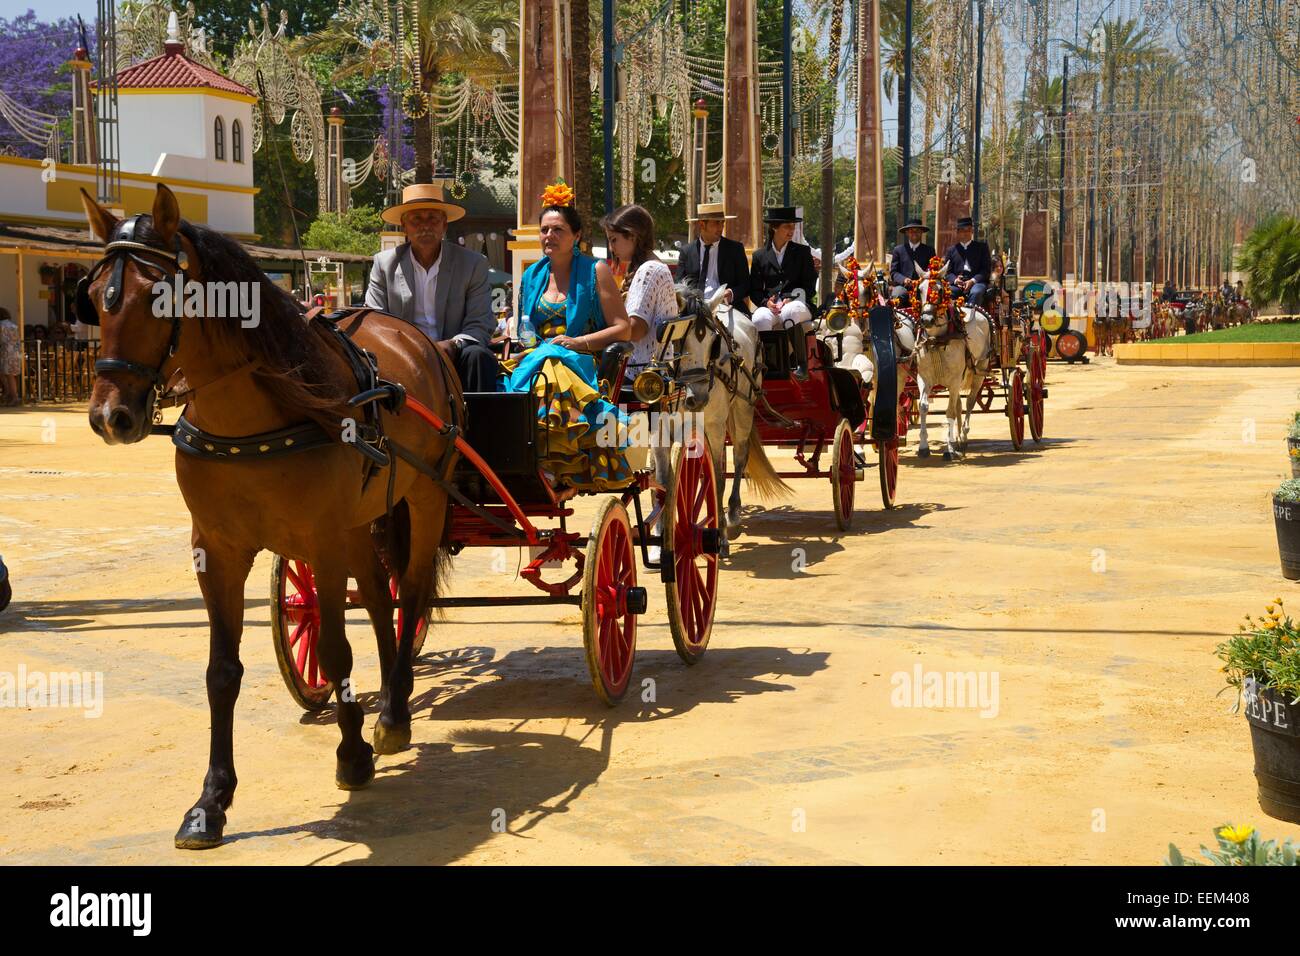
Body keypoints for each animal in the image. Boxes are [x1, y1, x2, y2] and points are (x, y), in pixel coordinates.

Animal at [77, 183, 462, 848]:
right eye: (98, 296)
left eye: (157, 296)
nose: (110, 417)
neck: (251, 415)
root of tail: (414, 336)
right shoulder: (217, 551)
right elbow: (221, 672)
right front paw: (211, 800)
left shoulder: (323, 541)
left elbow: (334, 651)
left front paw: (352, 755)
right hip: (364, 520)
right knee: (380, 599)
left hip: (425, 496)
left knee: (409, 594)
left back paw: (393, 711)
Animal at [909, 260, 987, 457]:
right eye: (919, 290)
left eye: (940, 290)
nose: (926, 320)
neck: (936, 340)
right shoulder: (924, 378)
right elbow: (923, 406)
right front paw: (923, 446)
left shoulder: (954, 380)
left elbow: (950, 411)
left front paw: (950, 448)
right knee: (959, 404)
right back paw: (958, 438)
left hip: (979, 373)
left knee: (969, 402)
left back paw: (963, 437)